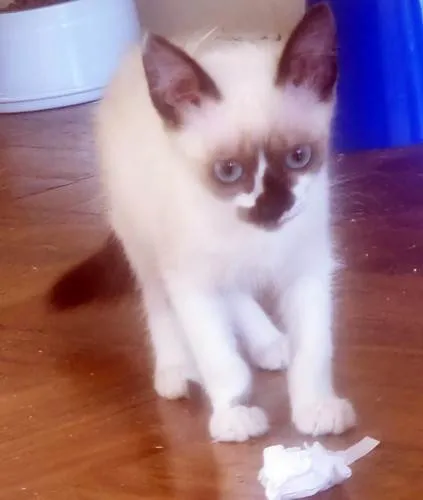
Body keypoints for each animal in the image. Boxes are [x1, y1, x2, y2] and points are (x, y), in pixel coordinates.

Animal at [51, 3, 356, 442]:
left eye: (299, 157)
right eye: (228, 171)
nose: (273, 207)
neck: (253, 242)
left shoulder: (307, 269)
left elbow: (312, 350)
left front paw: (316, 408)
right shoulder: (190, 279)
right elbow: (220, 359)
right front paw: (233, 417)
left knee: (234, 294)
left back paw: (269, 343)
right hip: (143, 242)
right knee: (160, 302)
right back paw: (175, 371)